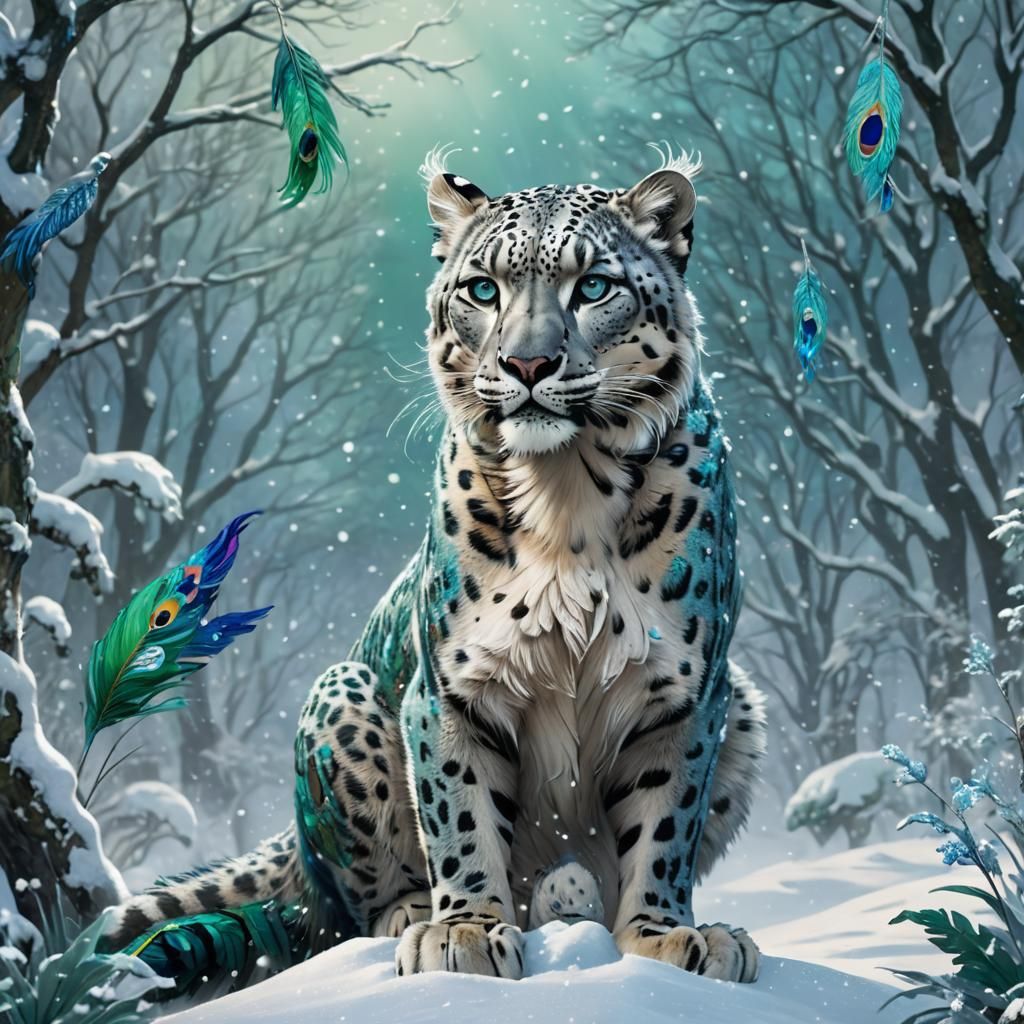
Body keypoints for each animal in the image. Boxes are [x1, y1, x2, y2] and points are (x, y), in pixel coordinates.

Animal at [105, 147, 768, 988]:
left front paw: (663, 935)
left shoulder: (684, 695)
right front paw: (465, 933)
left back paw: (580, 904)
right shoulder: (452, 688)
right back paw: (416, 913)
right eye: (483, 289)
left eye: (593, 286)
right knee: (348, 902)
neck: (567, 492)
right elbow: (458, 814)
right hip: (342, 694)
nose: (527, 362)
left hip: (744, 707)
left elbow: (665, 826)